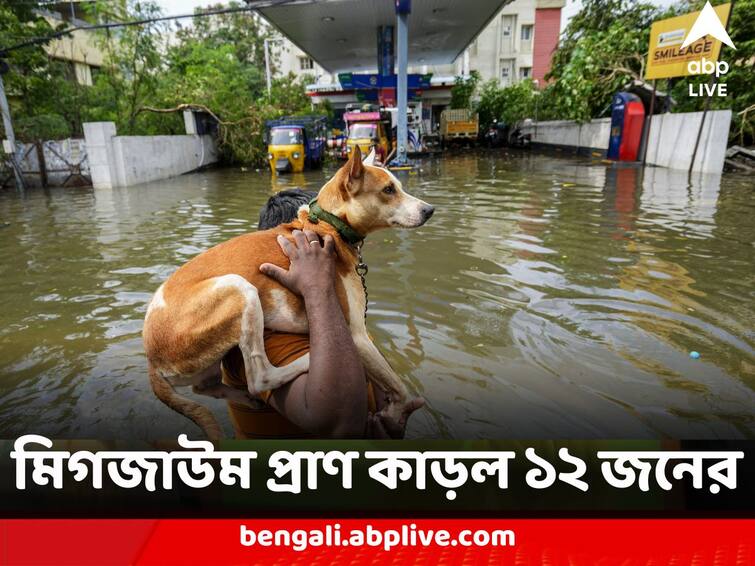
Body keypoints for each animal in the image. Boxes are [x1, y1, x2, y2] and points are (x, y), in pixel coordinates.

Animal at [142, 145, 434, 440]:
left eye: (397, 186)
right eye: (388, 190)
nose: (430, 210)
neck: (328, 226)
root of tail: (152, 360)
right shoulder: (357, 335)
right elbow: (399, 388)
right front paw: (395, 415)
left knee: (205, 387)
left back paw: (245, 399)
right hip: (240, 288)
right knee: (259, 378)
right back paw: (305, 362)